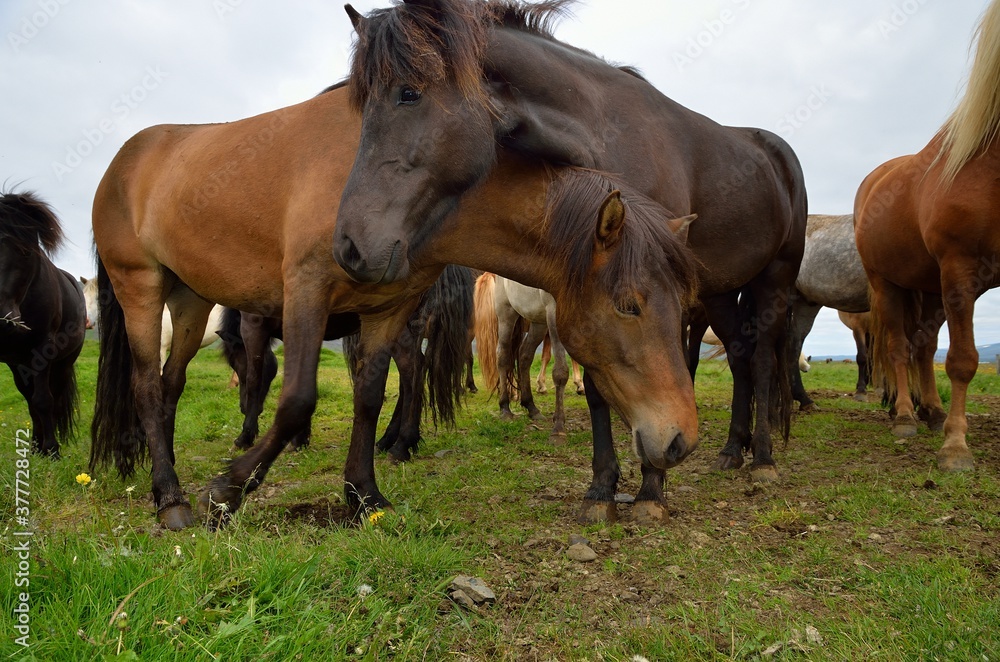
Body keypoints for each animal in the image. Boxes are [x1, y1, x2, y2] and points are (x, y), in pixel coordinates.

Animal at [0, 191, 87, 457]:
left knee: (51, 397)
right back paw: (35, 446)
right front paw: (41, 447)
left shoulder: (41, 349)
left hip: (62, 363)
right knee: (30, 399)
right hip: (18, 364)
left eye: (26, 252)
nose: (2, 318)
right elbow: (33, 402)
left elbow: (44, 400)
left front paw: (52, 449)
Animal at [473, 272, 571, 443]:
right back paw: (505, 409)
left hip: (538, 320)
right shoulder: (555, 313)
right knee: (503, 356)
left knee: (525, 354)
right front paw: (558, 428)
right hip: (506, 313)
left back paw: (531, 406)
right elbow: (560, 372)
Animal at [855, 0, 1000, 471]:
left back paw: (933, 410)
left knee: (923, 347)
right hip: (890, 286)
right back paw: (904, 415)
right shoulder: (959, 270)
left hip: (932, 289)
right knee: (901, 348)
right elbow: (962, 361)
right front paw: (956, 447)